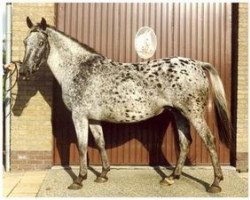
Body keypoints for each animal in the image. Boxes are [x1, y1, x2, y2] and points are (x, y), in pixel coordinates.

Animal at [19, 17, 232, 194]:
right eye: (24, 42)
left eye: (40, 43)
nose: (23, 72)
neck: (79, 69)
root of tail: (198, 63)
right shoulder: (93, 118)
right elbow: (100, 142)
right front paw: (103, 174)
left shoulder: (79, 116)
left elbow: (81, 146)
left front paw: (79, 179)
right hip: (178, 113)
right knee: (185, 142)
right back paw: (172, 177)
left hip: (193, 113)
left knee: (209, 140)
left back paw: (215, 183)